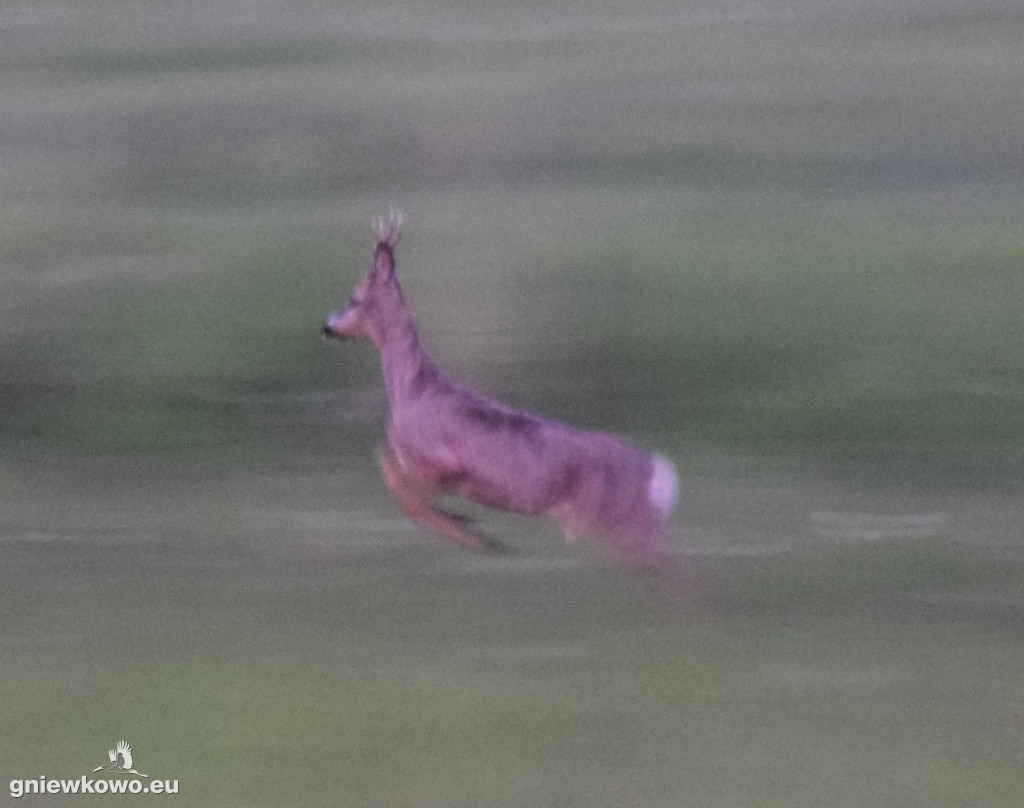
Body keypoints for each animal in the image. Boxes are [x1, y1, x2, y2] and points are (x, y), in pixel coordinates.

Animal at [323, 210, 684, 569]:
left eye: (354, 298)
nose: (327, 327)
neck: (412, 390)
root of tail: (657, 474)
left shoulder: (440, 462)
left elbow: (397, 484)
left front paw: (476, 536)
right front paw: (470, 528)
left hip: (622, 518)